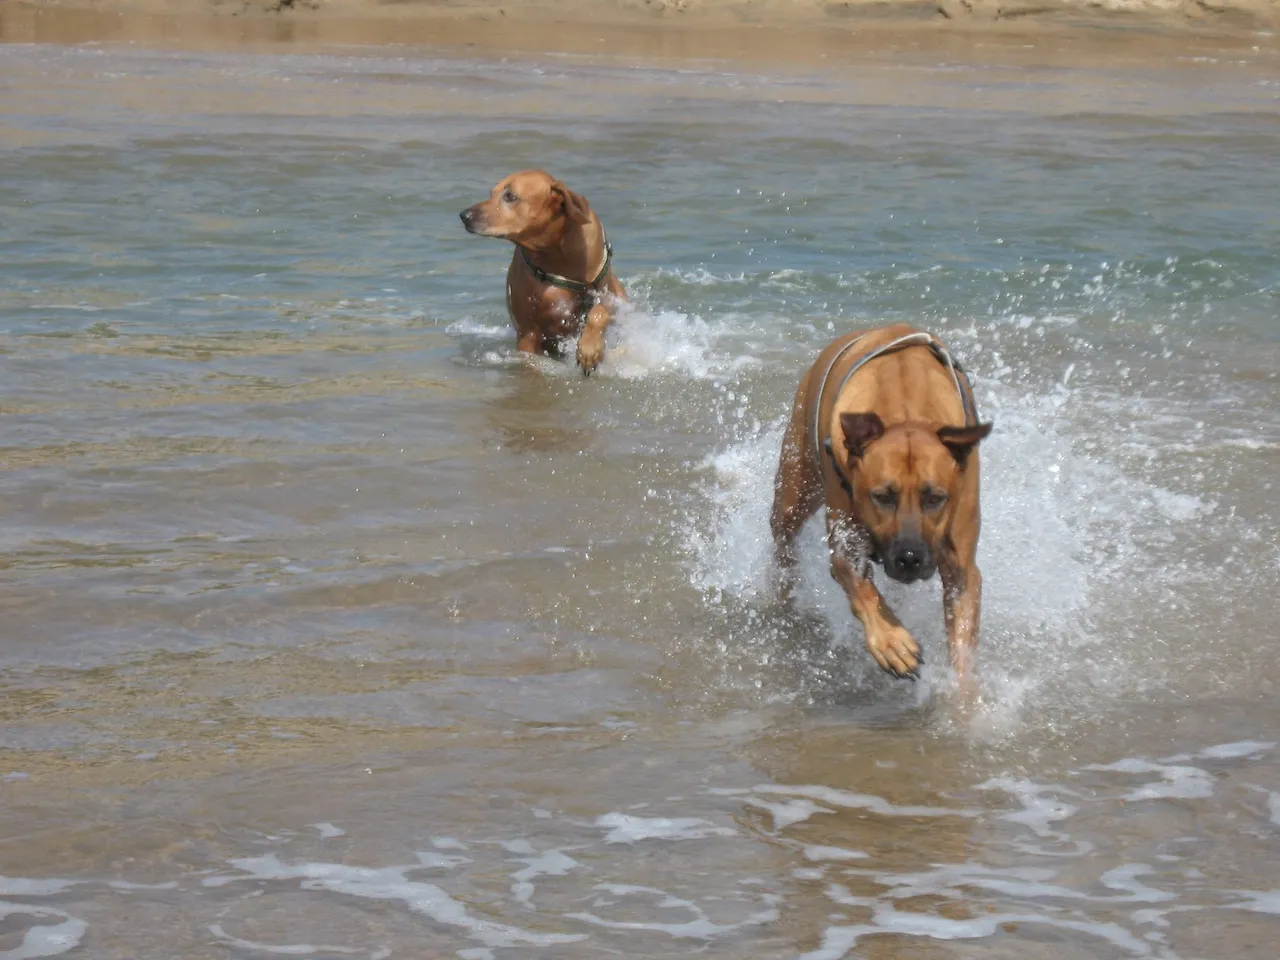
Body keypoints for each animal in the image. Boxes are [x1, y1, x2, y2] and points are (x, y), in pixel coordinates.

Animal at [460, 171, 624, 373]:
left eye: (510, 196)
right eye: (492, 193)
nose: (464, 215)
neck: (556, 255)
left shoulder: (610, 297)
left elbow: (600, 312)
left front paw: (590, 349)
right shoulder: (528, 331)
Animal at [768, 325, 988, 686]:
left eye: (935, 498)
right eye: (882, 496)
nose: (909, 558)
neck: (906, 413)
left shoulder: (961, 569)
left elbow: (962, 644)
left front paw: (963, 694)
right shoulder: (846, 537)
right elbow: (859, 584)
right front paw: (891, 641)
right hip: (794, 487)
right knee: (783, 539)